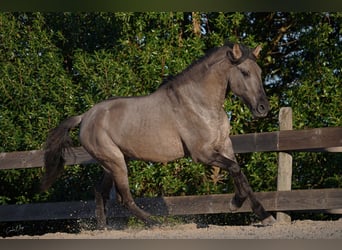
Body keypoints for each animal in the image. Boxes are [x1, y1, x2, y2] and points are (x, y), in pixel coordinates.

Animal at [40, 42, 276, 228]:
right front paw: (235, 204)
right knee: (125, 198)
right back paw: (157, 222)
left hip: (112, 162)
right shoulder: (202, 154)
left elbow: (241, 176)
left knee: (101, 192)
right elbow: (236, 170)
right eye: (244, 72)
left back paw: (103, 227)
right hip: (116, 162)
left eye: (260, 71)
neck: (199, 103)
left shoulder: (225, 145)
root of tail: (85, 117)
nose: (263, 108)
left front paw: (264, 216)